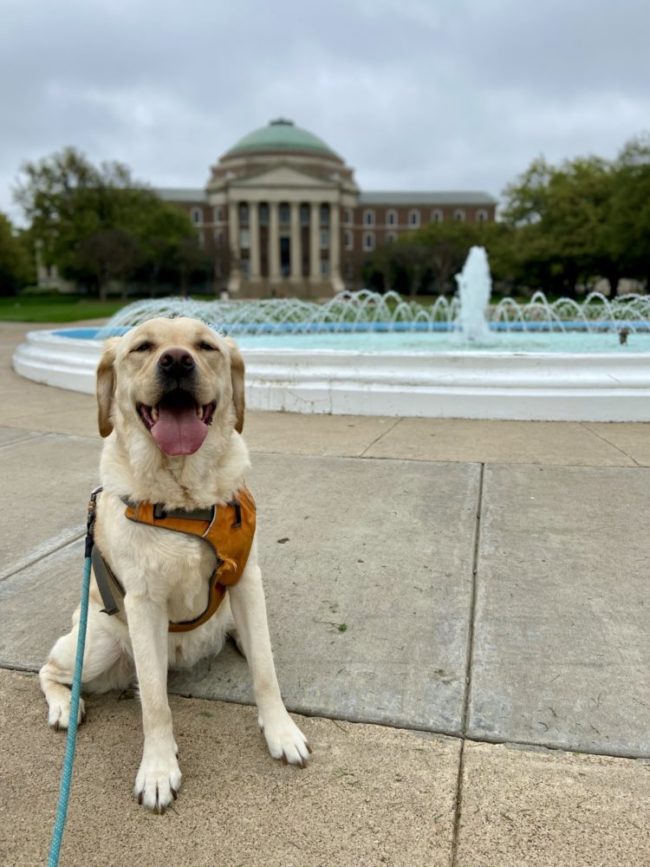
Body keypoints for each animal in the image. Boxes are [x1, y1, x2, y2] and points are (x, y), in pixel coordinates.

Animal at [39, 318, 308, 812]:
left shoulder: (246, 581)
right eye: (143, 347)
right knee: (51, 670)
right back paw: (65, 706)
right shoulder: (144, 605)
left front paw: (281, 732)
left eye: (205, 346)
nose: (178, 361)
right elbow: (155, 704)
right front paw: (158, 769)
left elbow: (266, 671)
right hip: (98, 644)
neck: (186, 498)